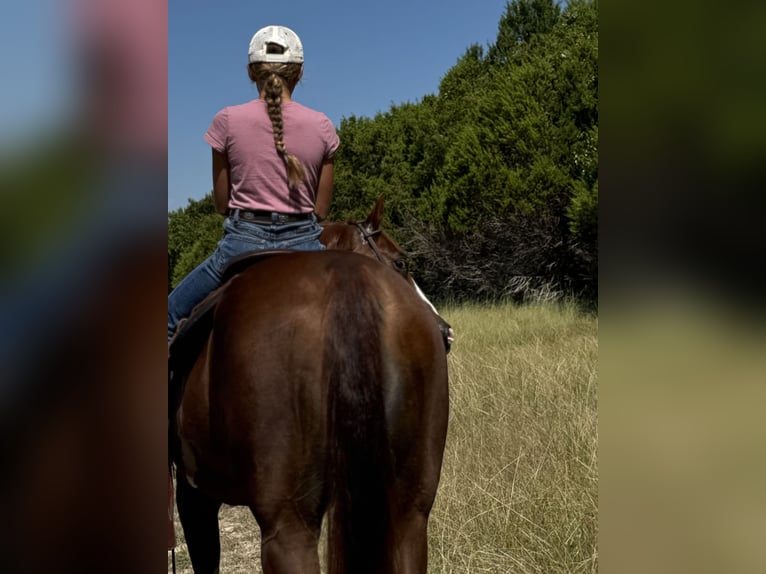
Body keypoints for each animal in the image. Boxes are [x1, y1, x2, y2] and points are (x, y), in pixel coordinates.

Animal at [170, 198, 449, 574]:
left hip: (288, 526)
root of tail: (346, 277)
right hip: (410, 514)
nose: (447, 331)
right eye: (401, 261)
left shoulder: (194, 492)